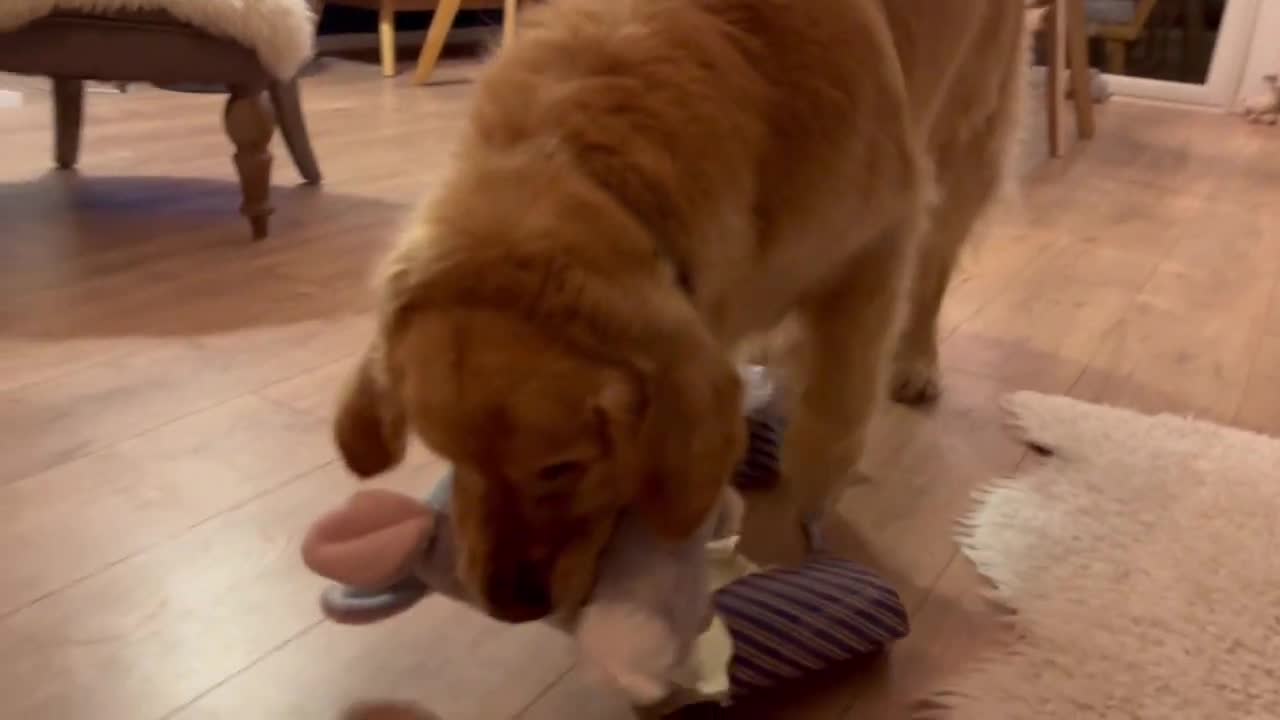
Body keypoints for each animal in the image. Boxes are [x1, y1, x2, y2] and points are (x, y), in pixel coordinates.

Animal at [332, 0, 1029, 620]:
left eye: (563, 468)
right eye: (446, 454)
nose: (509, 608)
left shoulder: (876, 247)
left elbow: (829, 424)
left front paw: (789, 547)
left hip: (967, 141)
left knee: (936, 267)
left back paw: (915, 363)